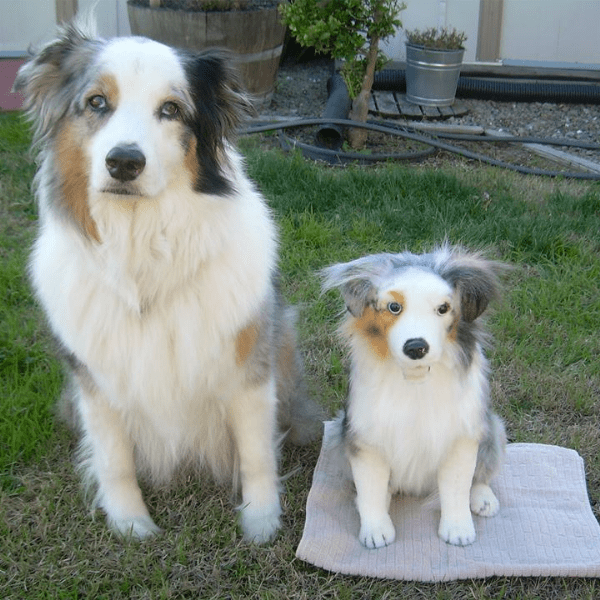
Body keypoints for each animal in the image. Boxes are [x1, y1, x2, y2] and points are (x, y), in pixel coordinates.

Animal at [14, 21, 322, 540]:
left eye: (171, 110)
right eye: (97, 102)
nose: (123, 162)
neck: (142, 255)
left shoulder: (249, 365)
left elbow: (257, 450)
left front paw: (261, 521)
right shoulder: (95, 381)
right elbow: (114, 458)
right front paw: (130, 523)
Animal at [322, 247, 508, 548]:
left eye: (443, 308)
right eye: (394, 307)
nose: (416, 347)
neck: (416, 380)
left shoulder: (462, 435)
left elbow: (457, 486)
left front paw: (458, 530)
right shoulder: (365, 437)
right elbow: (371, 486)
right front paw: (375, 531)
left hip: (493, 428)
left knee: (481, 474)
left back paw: (483, 499)